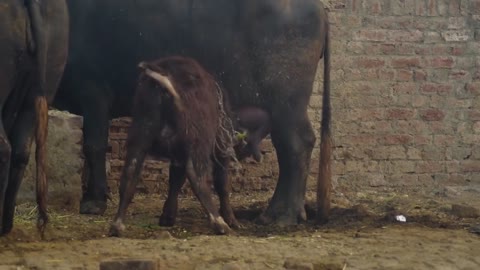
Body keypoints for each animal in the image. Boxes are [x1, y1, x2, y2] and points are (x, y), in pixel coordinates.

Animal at [109, 56, 239, 235]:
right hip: (198, 141)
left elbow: (175, 180)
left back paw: (117, 226)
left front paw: (167, 217)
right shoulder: (220, 147)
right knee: (197, 177)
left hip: (140, 135)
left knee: (130, 173)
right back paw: (220, 224)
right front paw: (231, 219)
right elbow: (221, 182)